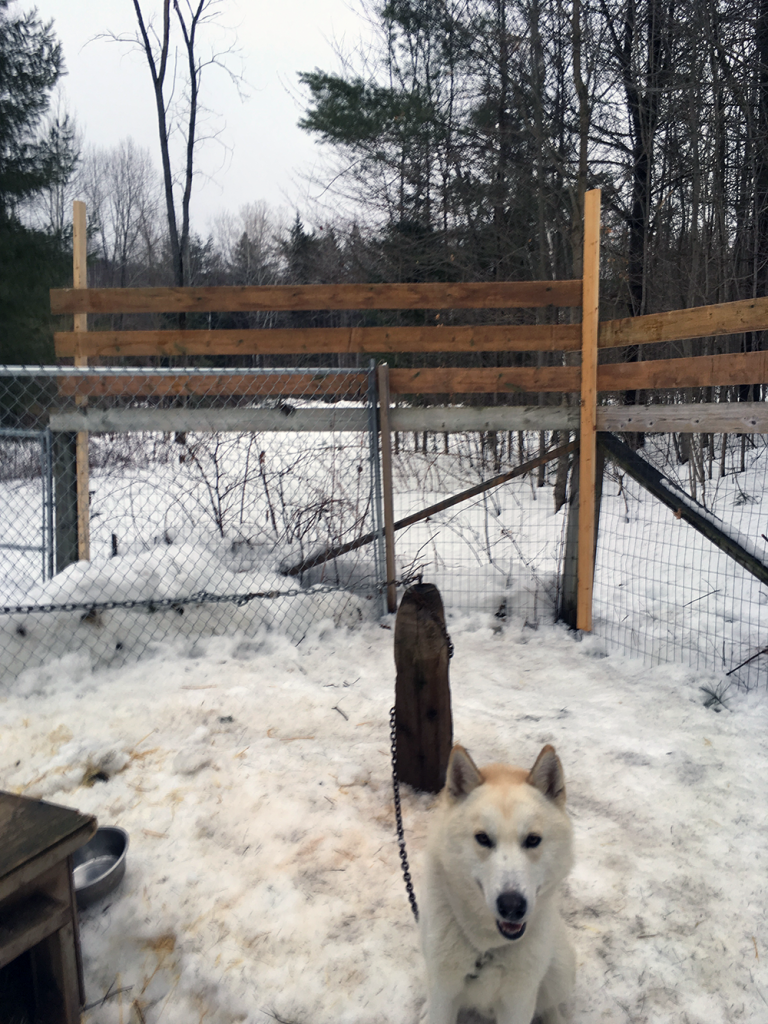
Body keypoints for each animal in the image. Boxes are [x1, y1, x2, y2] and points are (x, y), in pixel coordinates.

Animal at [421, 745, 577, 1024]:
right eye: (482, 838)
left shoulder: (517, 1003)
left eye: (533, 839)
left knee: (549, 1005)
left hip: (560, 970)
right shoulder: (443, 993)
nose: (512, 906)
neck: (487, 949)